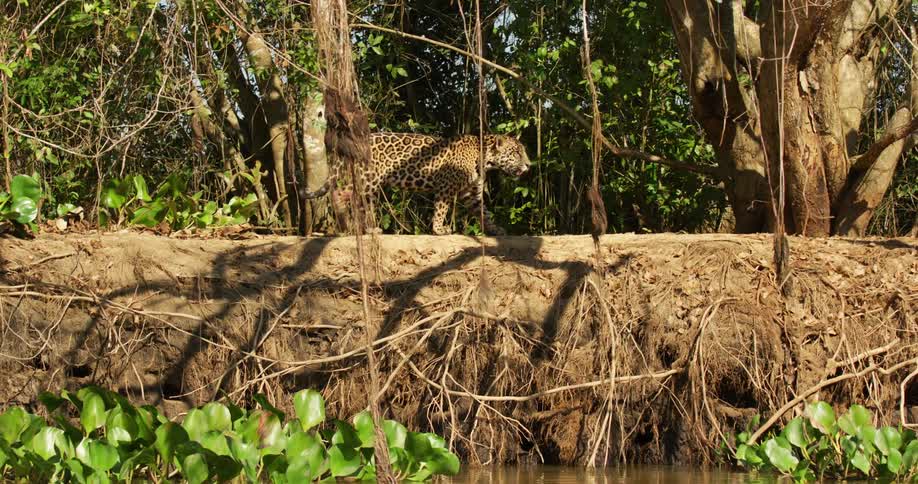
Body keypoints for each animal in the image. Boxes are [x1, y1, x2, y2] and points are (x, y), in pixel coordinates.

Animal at [301, 132, 531, 235]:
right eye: (516, 153)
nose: (529, 165)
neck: (484, 160)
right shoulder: (446, 186)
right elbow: (441, 208)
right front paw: (439, 229)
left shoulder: (471, 193)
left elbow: (484, 212)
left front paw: (496, 230)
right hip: (368, 178)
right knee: (341, 193)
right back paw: (350, 225)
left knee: (357, 201)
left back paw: (363, 228)